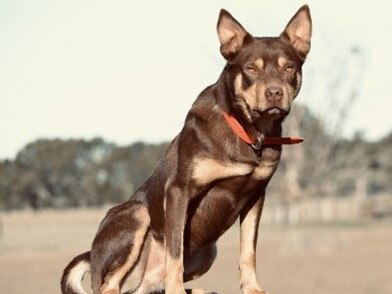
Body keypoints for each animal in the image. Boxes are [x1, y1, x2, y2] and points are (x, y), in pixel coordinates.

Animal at [62, 5, 312, 294]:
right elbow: (175, 253)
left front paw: (253, 289)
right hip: (137, 214)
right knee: (109, 285)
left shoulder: (256, 195)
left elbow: (248, 251)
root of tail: (91, 255)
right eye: (251, 68)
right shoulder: (179, 190)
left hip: (208, 251)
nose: (274, 93)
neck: (249, 132)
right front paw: (176, 288)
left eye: (289, 67)